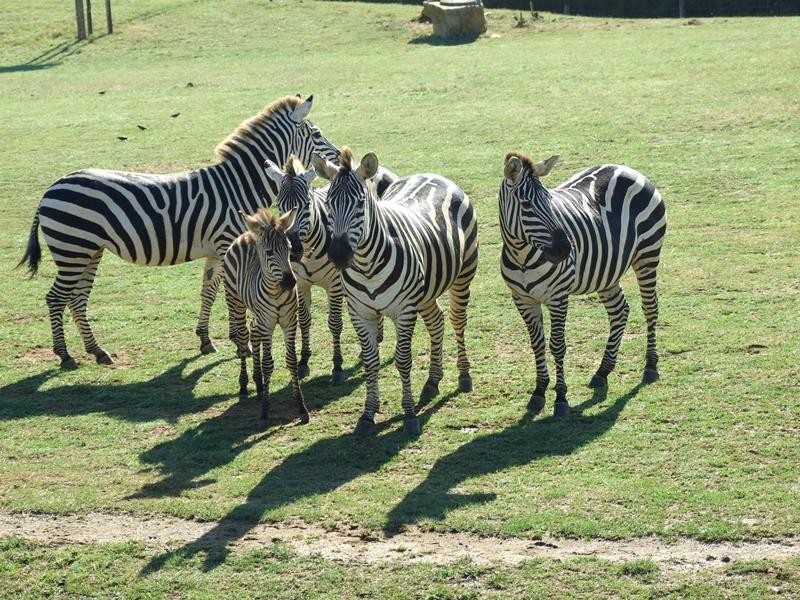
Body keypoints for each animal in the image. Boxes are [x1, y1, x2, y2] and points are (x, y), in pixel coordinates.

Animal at [18, 95, 338, 370]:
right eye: (317, 134)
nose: (337, 161)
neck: (238, 184)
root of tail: (53, 186)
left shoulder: (216, 251)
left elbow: (208, 292)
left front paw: (207, 340)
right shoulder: (228, 245)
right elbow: (229, 293)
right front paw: (242, 344)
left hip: (88, 251)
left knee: (77, 299)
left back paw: (97, 351)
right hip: (72, 249)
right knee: (56, 298)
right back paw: (65, 355)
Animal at [222, 207, 310, 426]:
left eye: (289, 248)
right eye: (269, 252)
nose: (290, 282)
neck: (276, 292)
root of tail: (247, 234)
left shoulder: (289, 322)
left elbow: (291, 360)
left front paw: (301, 407)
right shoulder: (268, 323)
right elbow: (269, 364)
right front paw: (264, 412)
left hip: (258, 316)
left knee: (253, 333)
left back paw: (259, 383)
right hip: (235, 302)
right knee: (243, 339)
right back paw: (244, 384)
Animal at [262, 156, 400, 384]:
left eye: (306, 205)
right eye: (279, 205)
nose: (293, 250)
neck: (309, 250)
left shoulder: (334, 284)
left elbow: (335, 323)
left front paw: (337, 366)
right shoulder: (301, 283)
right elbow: (304, 321)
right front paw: (303, 361)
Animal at [312, 146, 478, 436]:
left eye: (360, 204)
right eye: (329, 204)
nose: (339, 255)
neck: (367, 264)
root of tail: (434, 175)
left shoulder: (404, 310)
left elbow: (403, 360)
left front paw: (410, 415)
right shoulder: (360, 312)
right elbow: (371, 362)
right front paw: (368, 415)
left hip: (463, 274)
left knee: (458, 321)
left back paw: (464, 376)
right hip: (426, 290)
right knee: (437, 322)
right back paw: (432, 381)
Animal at [496, 151, 664, 418]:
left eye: (550, 200)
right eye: (526, 205)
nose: (565, 249)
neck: (522, 256)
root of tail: (625, 168)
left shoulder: (558, 296)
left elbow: (557, 346)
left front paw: (561, 399)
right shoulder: (522, 300)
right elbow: (537, 345)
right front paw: (539, 392)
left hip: (647, 256)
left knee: (650, 308)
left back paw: (650, 366)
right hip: (607, 271)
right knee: (620, 311)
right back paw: (602, 371)